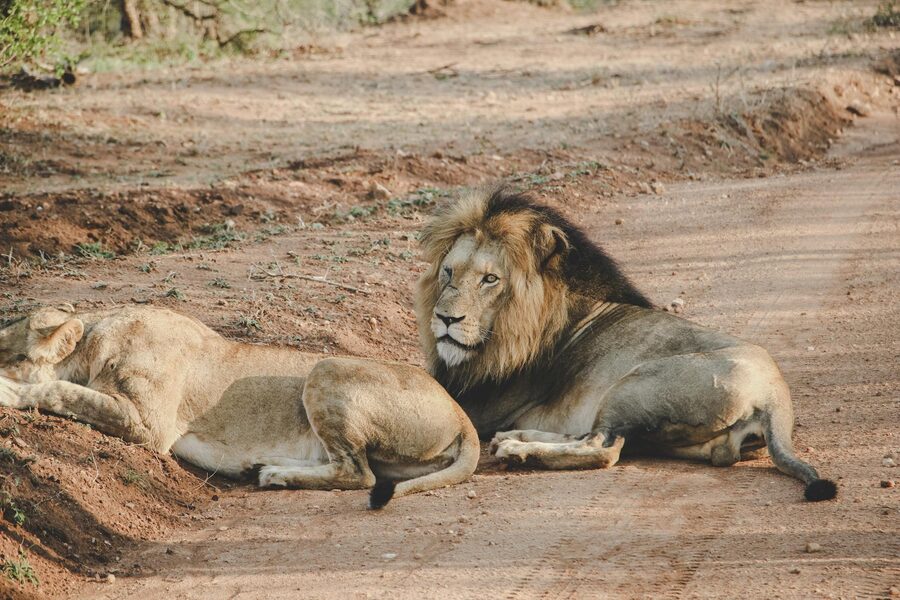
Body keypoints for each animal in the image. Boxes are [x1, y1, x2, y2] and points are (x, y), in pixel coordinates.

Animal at [0, 305, 478, 507]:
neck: (97, 339)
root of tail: (461, 414)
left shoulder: (149, 426)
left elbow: (60, 391)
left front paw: (7, 391)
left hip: (326, 368)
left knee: (359, 474)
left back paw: (275, 476)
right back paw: (266, 466)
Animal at [415, 186, 836, 501]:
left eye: (490, 279)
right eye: (449, 272)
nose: (446, 319)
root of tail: (776, 396)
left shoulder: (480, 403)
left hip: (633, 385)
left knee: (604, 448)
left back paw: (519, 451)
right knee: (596, 437)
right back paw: (518, 438)